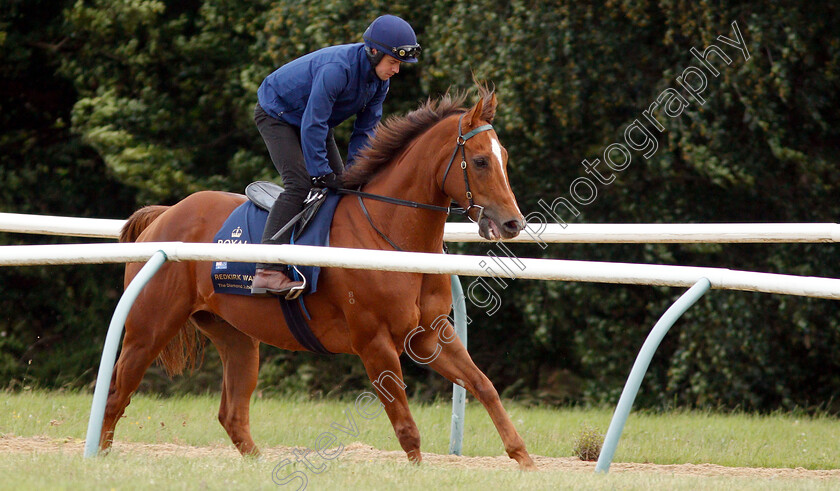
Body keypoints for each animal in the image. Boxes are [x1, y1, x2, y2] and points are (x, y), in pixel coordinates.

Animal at [101, 84, 536, 468]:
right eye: (479, 161)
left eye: (504, 157)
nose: (513, 223)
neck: (388, 234)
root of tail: (164, 215)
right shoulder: (373, 341)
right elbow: (405, 423)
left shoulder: (430, 334)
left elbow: (484, 385)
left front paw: (524, 459)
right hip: (149, 328)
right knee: (117, 395)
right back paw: (100, 458)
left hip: (236, 337)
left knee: (231, 414)